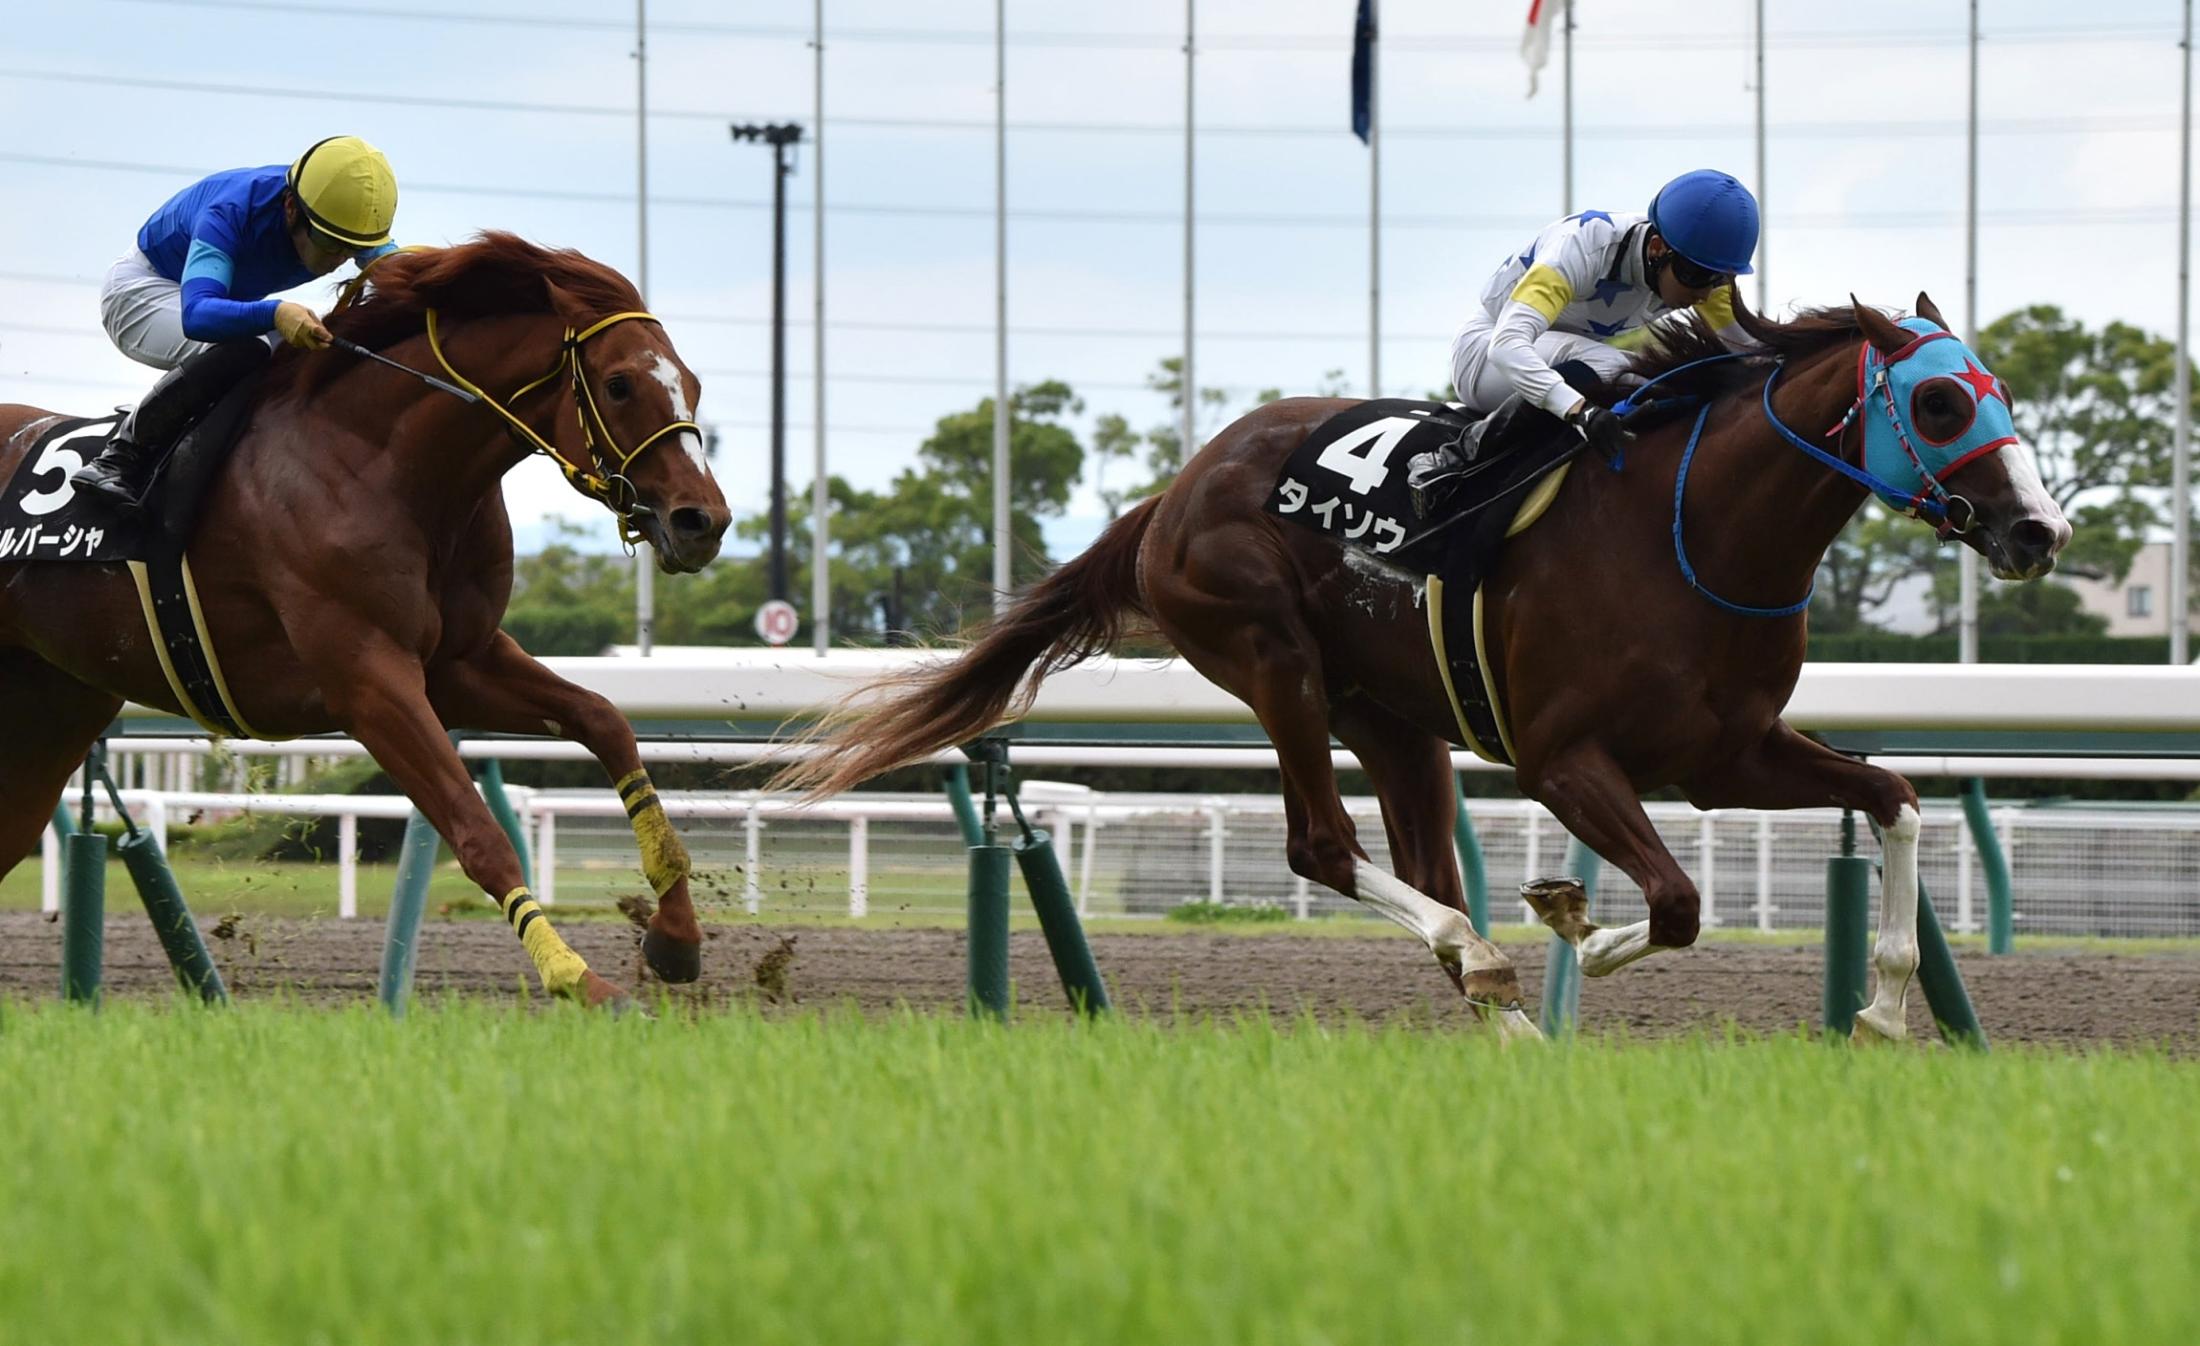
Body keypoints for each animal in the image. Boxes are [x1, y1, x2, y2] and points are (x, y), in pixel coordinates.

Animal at [783, 294, 2068, 1042]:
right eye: (1940, 399)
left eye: (2000, 391)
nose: (2037, 530)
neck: (1692, 531)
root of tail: (1175, 489)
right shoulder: (1562, 758)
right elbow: (1674, 901)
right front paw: (1573, 925)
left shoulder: (1726, 754)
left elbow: (1892, 797)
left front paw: (1886, 999)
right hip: (1270, 652)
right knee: (1323, 845)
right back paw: (1489, 960)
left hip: (1392, 713)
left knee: (1415, 861)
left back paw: (1498, 1001)